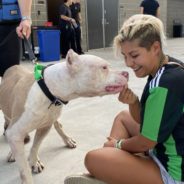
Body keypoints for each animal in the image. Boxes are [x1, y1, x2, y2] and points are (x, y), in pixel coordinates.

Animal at [0, 49, 129, 184]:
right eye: (104, 67)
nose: (127, 73)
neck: (48, 90)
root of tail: (14, 67)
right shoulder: (15, 131)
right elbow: (24, 168)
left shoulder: (45, 126)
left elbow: (35, 146)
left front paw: (34, 161)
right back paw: (12, 152)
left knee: (58, 125)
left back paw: (67, 140)